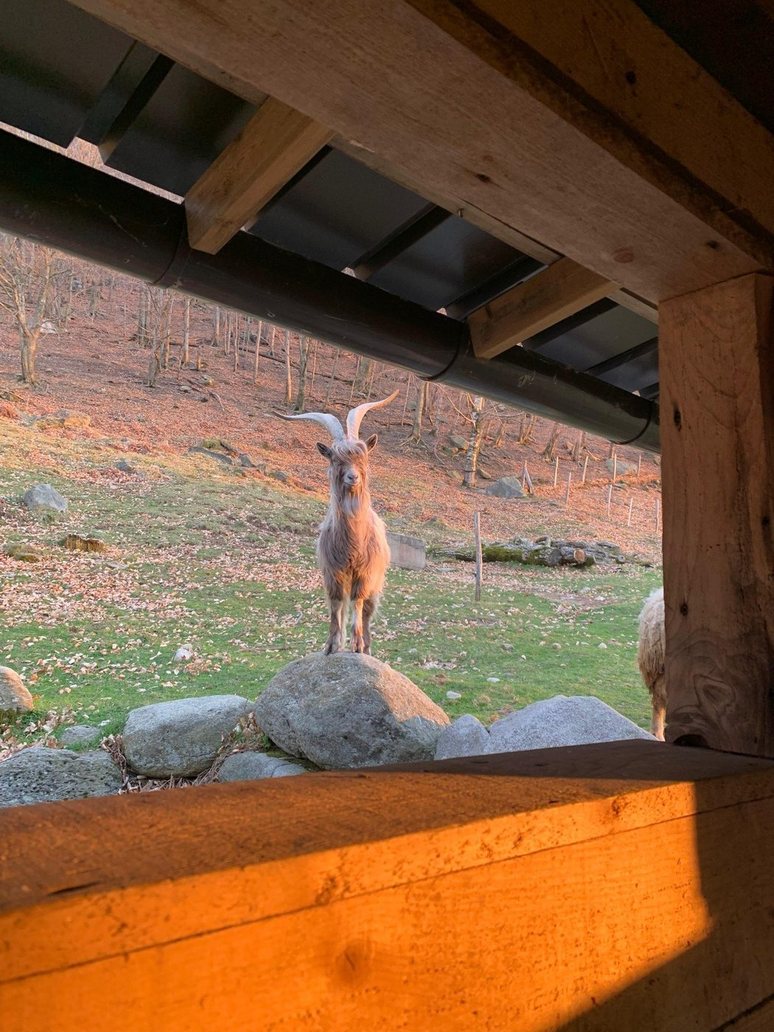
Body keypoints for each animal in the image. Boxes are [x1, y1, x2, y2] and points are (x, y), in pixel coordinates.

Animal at [276, 391, 398, 655]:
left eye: (363, 455)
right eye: (334, 458)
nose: (353, 477)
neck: (353, 543)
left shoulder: (364, 573)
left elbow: (358, 603)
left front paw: (357, 643)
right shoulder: (333, 572)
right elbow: (336, 605)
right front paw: (332, 644)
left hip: (377, 581)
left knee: (367, 610)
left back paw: (366, 647)